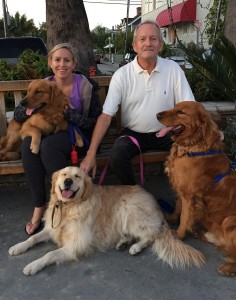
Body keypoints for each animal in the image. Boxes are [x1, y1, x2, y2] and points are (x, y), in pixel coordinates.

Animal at [8, 165, 205, 276]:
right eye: (64, 174)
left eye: (77, 176)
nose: (68, 181)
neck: (69, 207)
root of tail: (154, 202)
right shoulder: (52, 229)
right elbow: (32, 238)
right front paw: (18, 247)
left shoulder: (75, 245)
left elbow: (49, 254)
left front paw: (32, 265)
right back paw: (123, 242)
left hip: (128, 210)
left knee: (152, 235)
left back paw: (135, 247)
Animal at [157, 101, 236, 276]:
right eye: (174, 107)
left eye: (181, 112)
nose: (157, 115)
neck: (191, 146)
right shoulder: (182, 190)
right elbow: (178, 208)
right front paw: (172, 218)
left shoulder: (190, 197)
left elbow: (185, 216)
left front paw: (179, 233)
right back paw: (200, 233)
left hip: (230, 220)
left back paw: (228, 268)